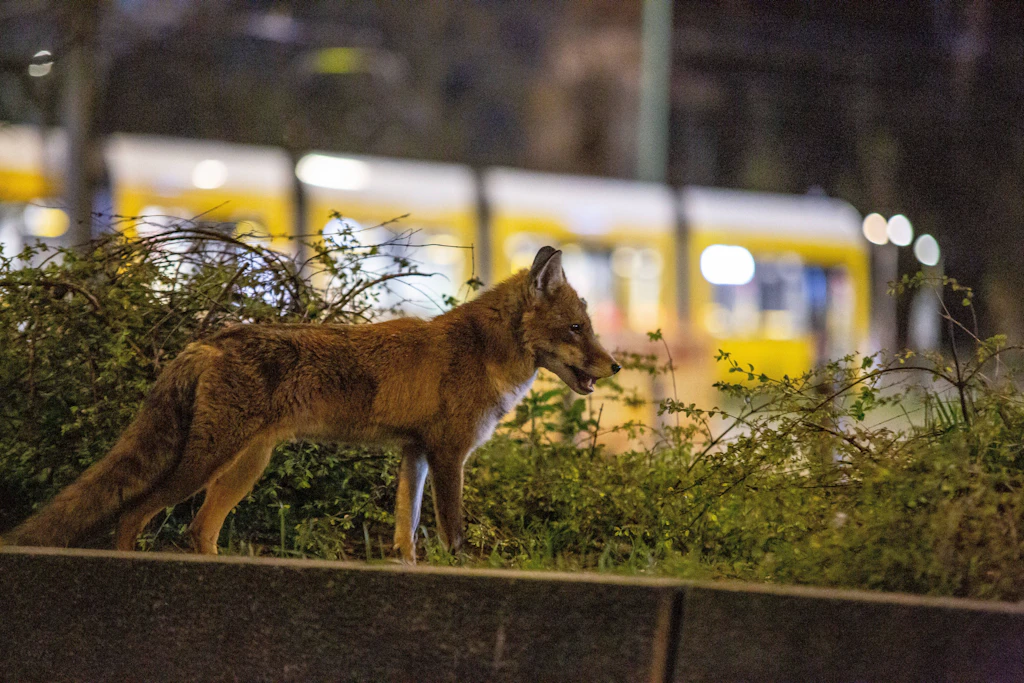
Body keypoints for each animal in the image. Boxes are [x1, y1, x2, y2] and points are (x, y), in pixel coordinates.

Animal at [3, 246, 620, 563]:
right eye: (576, 329)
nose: (614, 366)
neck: (484, 351)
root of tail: (210, 340)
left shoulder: (415, 456)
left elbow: (406, 537)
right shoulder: (449, 456)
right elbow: (454, 534)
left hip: (244, 466)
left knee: (198, 531)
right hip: (206, 462)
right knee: (135, 514)